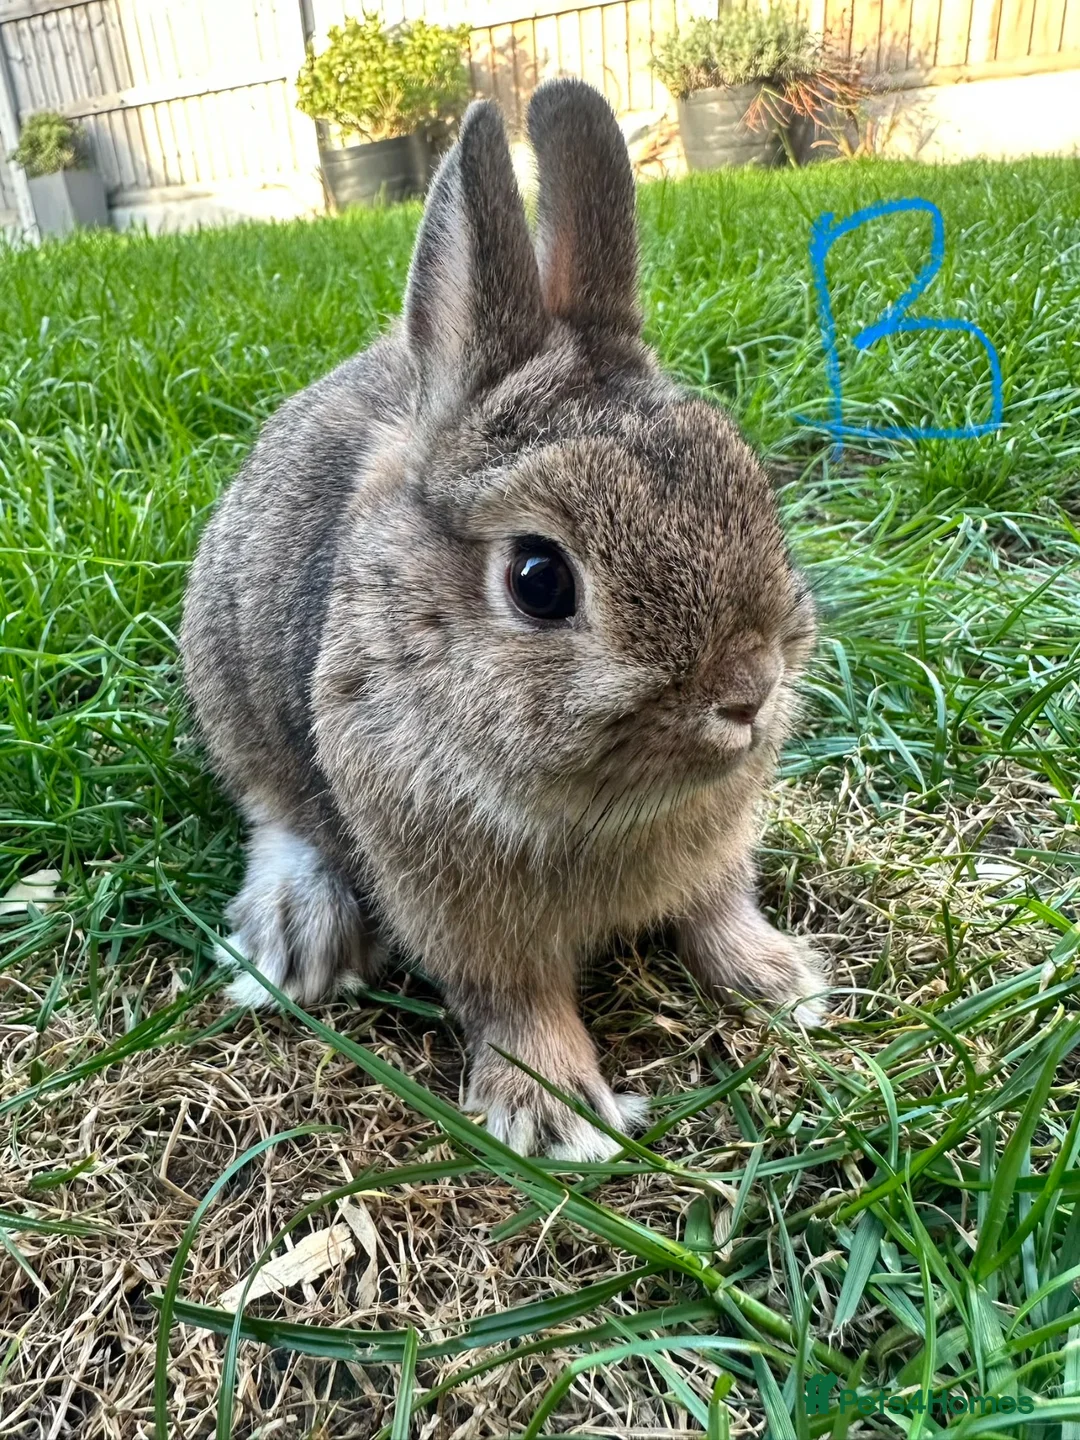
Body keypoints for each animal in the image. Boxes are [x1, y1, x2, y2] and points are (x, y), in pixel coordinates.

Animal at [181, 78, 827, 1163]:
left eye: (745, 482)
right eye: (538, 579)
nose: (747, 693)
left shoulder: (716, 856)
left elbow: (717, 910)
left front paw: (782, 981)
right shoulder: (459, 915)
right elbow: (515, 1001)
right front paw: (558, 1114)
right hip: (232, 688)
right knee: (276, 811)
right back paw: (295, 938)